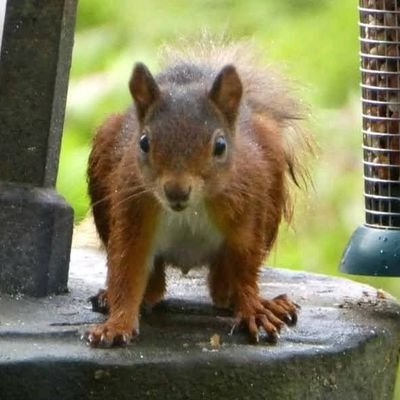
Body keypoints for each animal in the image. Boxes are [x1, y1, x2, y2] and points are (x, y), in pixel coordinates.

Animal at [85, 41, 312, 346]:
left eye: (220, 145)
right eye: (143, 142)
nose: (176, 191)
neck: (189, 209)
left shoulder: (244, 212)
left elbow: (245, 265)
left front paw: (253, 308)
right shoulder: (134, 209)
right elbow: (126, 268)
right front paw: (117, 324)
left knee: (223, 288)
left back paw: (259, 302)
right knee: (155, 286)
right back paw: (119, 297)